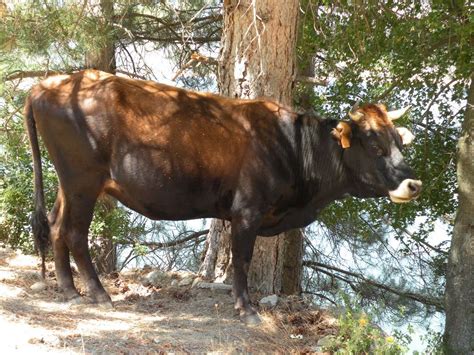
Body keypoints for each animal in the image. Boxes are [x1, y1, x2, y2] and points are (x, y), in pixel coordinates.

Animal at [24, 70, 420, 326]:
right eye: (374, 146)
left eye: (400, 143)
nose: (414, 184)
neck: (293, 146)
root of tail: (49, 82)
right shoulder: (247, 210)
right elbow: (241, 260)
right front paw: (247, 309)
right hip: (83, 180)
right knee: (75, 233)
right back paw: (98, 294)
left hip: (68, 183)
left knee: (57, 226)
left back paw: (68, 289)